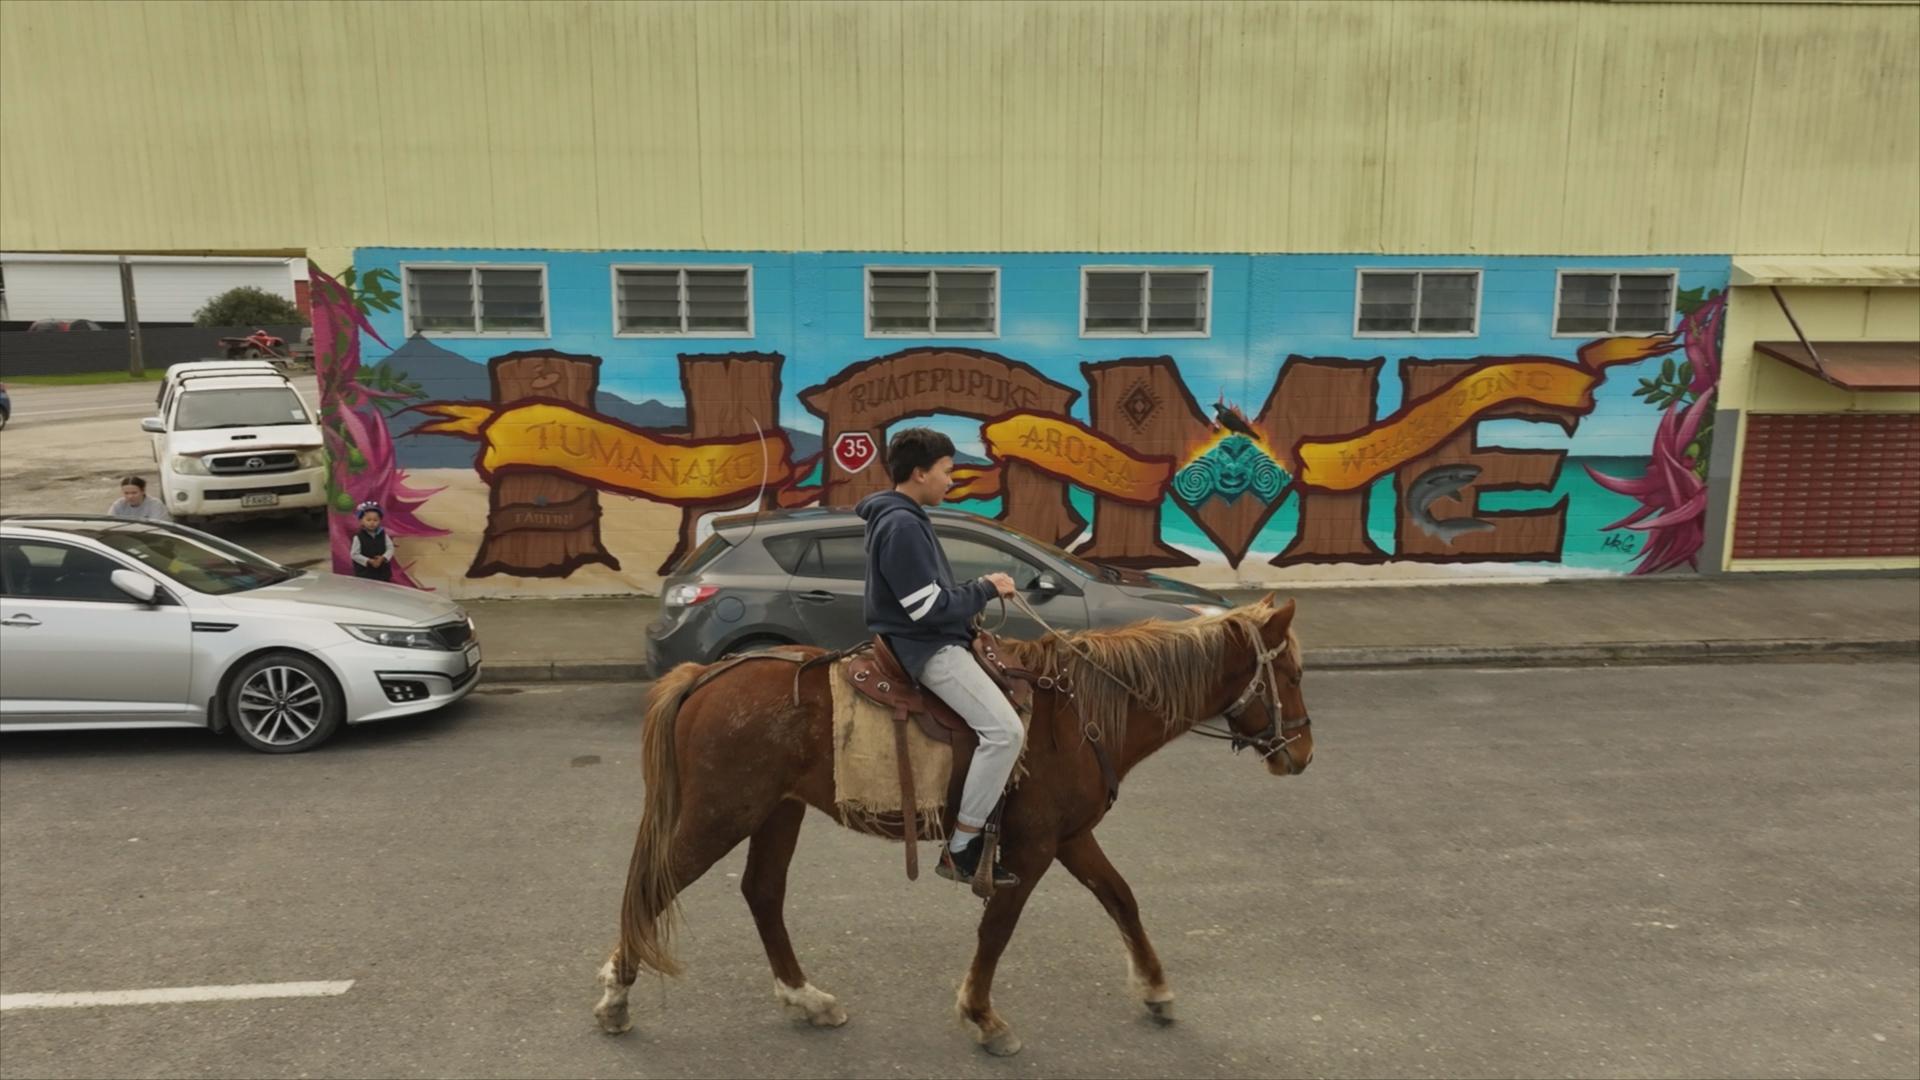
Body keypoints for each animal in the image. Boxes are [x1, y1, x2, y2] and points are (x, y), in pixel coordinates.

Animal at [595, 588, 1320, 1053]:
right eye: (1287, 670)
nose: (1304, 754)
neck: (1081, 710)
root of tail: (704, 675)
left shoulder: (1071, 837)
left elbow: (1121, 899)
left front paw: (1156, 989)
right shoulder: (1031, 848)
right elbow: (997, 930)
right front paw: (982, 1017)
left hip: (777, 812)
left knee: (763, 894)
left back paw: (806, 998)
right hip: (723, 814)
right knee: (653, 888)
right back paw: (616, 1000)